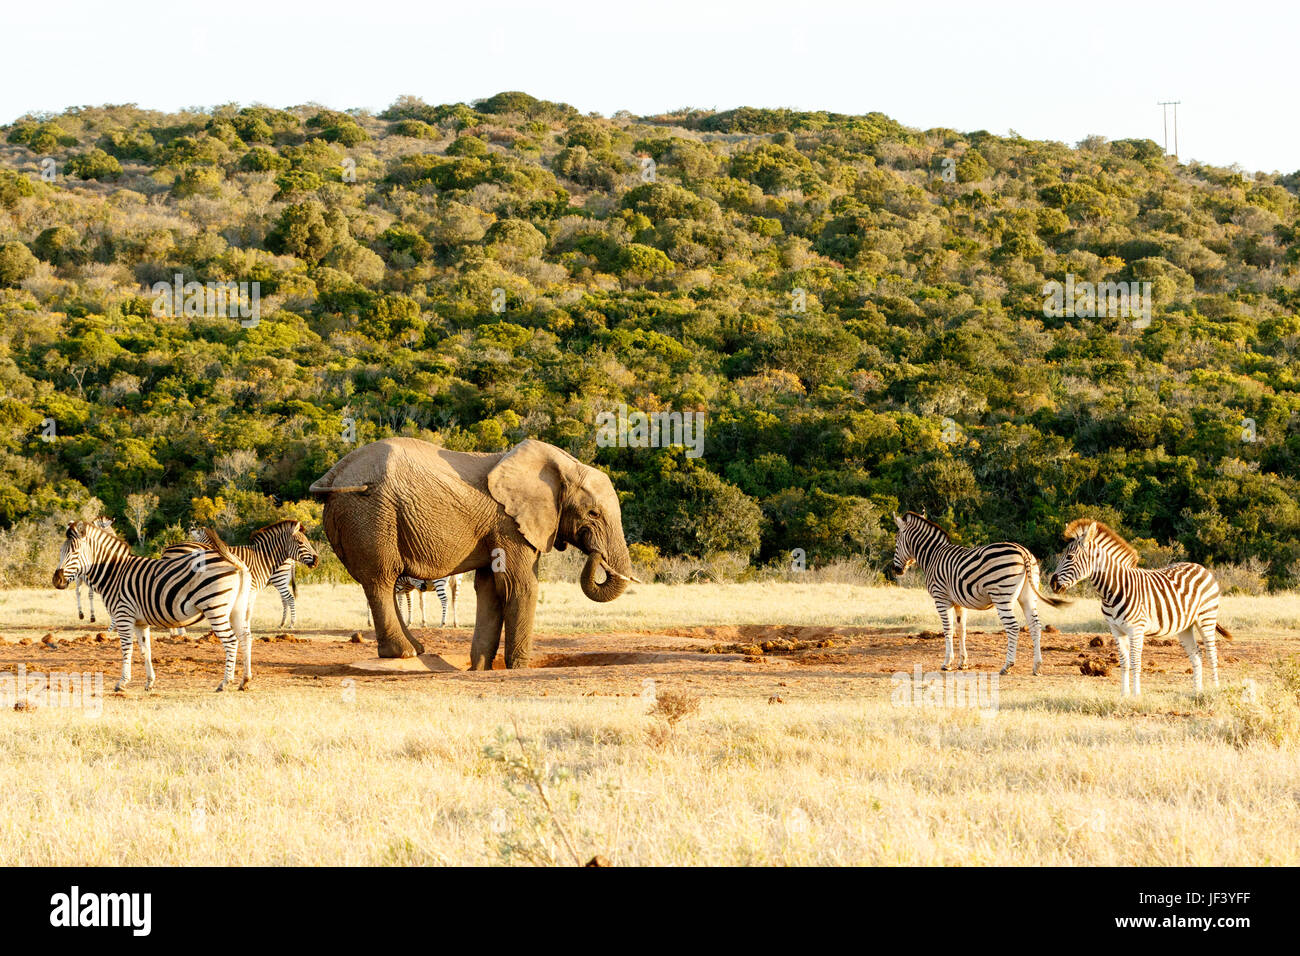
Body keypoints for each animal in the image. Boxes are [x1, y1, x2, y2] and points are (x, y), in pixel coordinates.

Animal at [52, 520, 253, 691]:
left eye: (75, 553)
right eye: (61, 552)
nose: (56, 580)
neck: (114, 573)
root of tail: (233, 560)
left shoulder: (123, 616)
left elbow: (127, 649)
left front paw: (122, 683)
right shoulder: (140, 622)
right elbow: (145, 651)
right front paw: (149, 682)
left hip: (215, 608)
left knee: (231, 641)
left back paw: (225, 683)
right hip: (237, 608)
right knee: (245, 638)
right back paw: (244, 681)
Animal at [314, 439, 639, 665]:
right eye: (593, 514)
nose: (596, 554)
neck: (561, 466)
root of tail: (333, 476)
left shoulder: (497, 529)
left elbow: (490, 589)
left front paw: (480, 667)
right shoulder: (509, 524)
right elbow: (520, 586)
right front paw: (518, 667)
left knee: (383, 583)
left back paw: (416, 649)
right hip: (370, 515)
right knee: (381, 579)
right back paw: (404, 653)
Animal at [894, 512, 1066, 676]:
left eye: (896, 541)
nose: (896, 570)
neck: (932, 556)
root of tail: (1023, 552)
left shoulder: (941, 598)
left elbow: (948, 629)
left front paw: (947, 663)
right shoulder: (959, 603)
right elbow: (961, 630)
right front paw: (963, 663)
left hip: (1001, 596)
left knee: (1013, 627)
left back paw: (1007, 666)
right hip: (1028, 596)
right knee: (1035, 626)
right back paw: (1037, 666)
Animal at [1045, 515, 1227, 697]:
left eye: (1069, 557)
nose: (1052, 583)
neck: (1113, 591)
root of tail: (1201, 567)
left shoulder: (1136, 629)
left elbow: (1135, 661)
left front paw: (1136, 694)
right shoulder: (1116, 630)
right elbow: (1124, 661)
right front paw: (1124, 694)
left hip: (1206, 618)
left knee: (1212, 653)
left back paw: (1215, 689)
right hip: (1185, 626)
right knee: (1196, 654)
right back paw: (1197, 691)